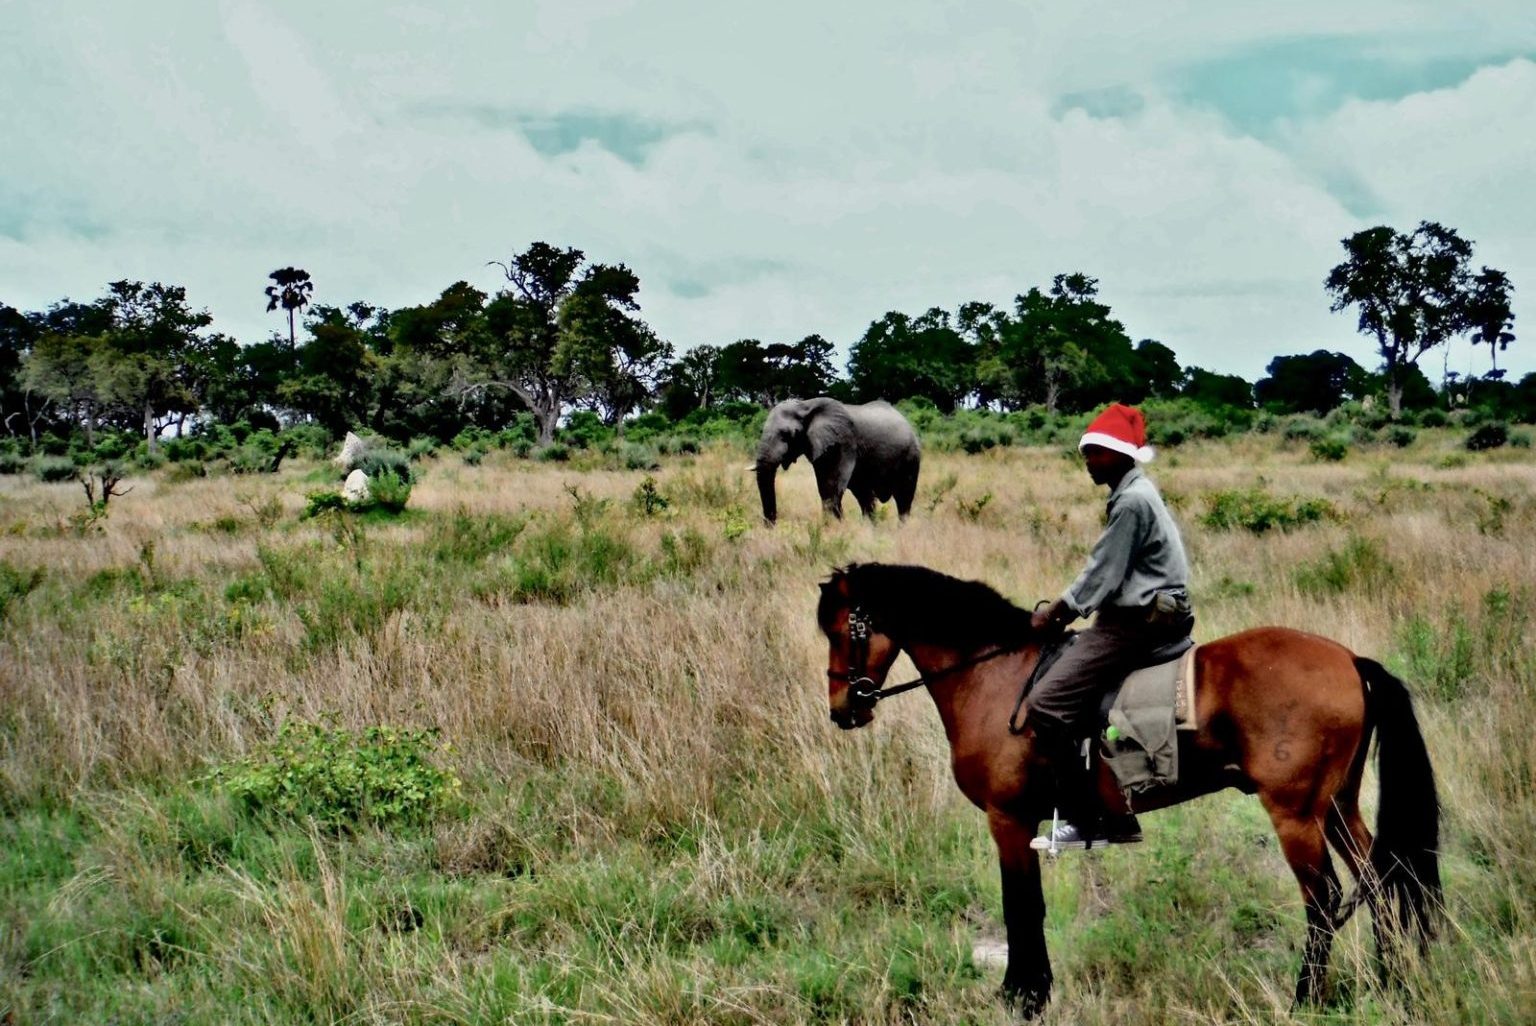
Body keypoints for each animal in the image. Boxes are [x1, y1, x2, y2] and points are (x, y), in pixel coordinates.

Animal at [752, 396, 915, 525]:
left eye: (786, 434)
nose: (771, 526)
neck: (805, 405)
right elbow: (825, 488)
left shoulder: (842, 441)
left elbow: (831, 488)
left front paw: (832, 528)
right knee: (865, 496)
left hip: (911, 455)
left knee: (904, 497)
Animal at [817, 562, 1437, 1019]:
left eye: (844, 629)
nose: (844, 711)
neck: (994, 675)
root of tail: (1349, 659)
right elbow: (1027, 906)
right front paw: (1030, 991)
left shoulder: (1008, 820)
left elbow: (1022, 906)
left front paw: (1024, 996)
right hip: (1337, 806)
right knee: (1382, 882)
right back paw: (1393, 982)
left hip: (1296, 814)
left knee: (1325, 899)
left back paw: (1305, 1000)